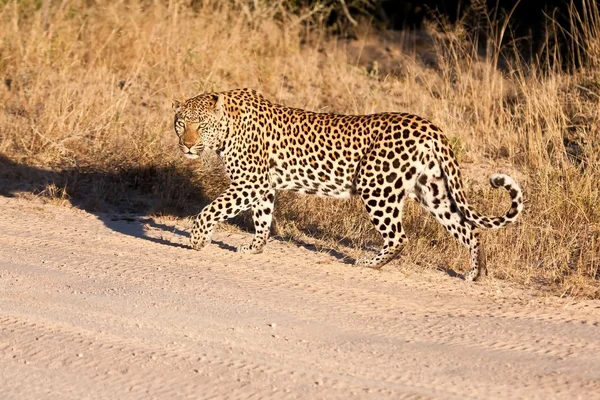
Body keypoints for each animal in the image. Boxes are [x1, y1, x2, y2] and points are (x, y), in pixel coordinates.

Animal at [171, 87, 524, 282]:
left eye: (201, 126)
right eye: (181, 124)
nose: (187, 146)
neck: (228, 126)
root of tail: (429, 125)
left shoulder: (251, 181)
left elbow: (212, 209)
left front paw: (197, 240)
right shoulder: (262, 185)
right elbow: (262, 217)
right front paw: (255, 247)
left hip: (376, 187)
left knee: (399, 236)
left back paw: (369, 263)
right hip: (432, 191)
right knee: (468, 228)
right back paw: (475, 273)